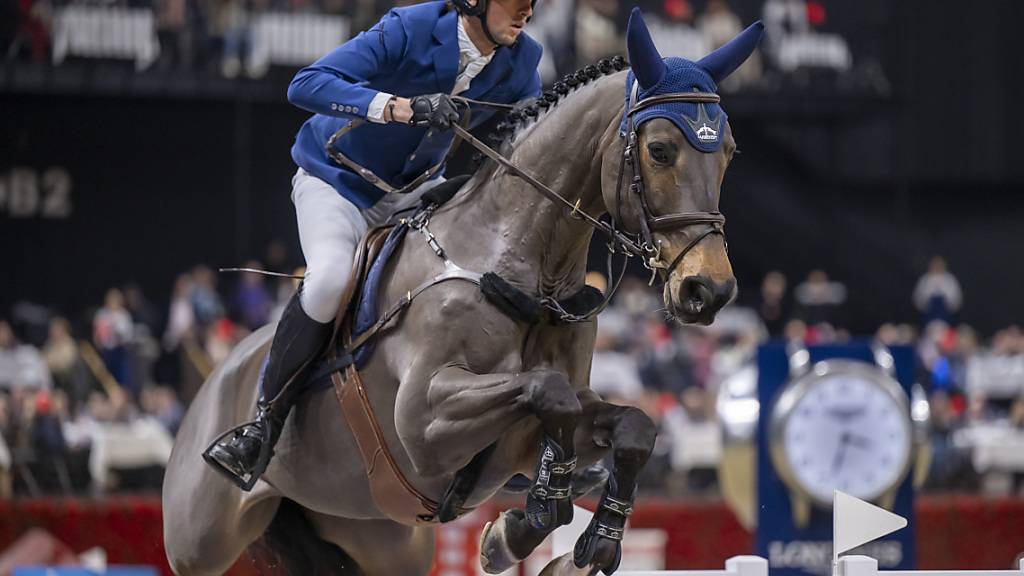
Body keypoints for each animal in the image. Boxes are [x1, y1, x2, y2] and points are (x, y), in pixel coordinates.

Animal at [161, 10, 761, 573]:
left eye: (731, 151)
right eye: (659, 150)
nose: (709, 289)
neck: (525, 271)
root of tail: (217, 375)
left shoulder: (521, 438)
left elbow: (630, 424)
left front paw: (576, 535)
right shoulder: (425, 425)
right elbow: (549, 393)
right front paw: (529, 519)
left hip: (380, 538)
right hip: (200, 542)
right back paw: (244, 444)